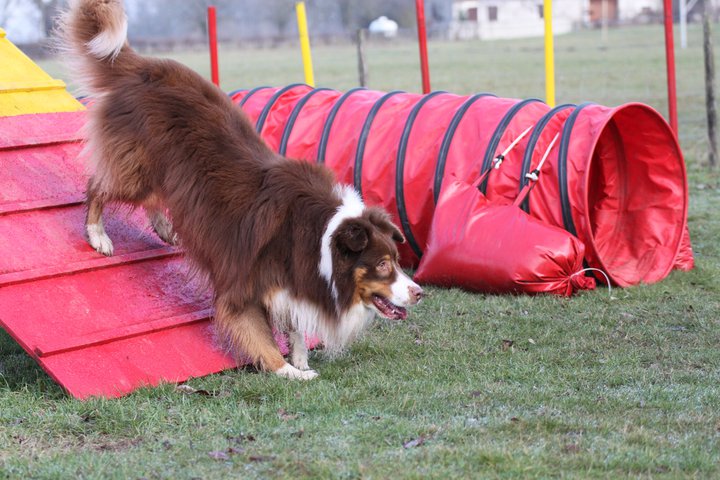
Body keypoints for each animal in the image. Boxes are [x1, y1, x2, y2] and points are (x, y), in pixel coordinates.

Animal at [60, 0, 422, 382]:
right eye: (382, 265)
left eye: (397, 261)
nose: (420, 293)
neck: (318, 237)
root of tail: (146, 66)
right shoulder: (244, 285)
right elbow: (260, 336)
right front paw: (291, 372)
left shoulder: (293, 280)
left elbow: (293, 325)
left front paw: (300, 358)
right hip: (137, 172)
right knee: (98, 186)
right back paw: (98, 235)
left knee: (152, 199)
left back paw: (165, 229)